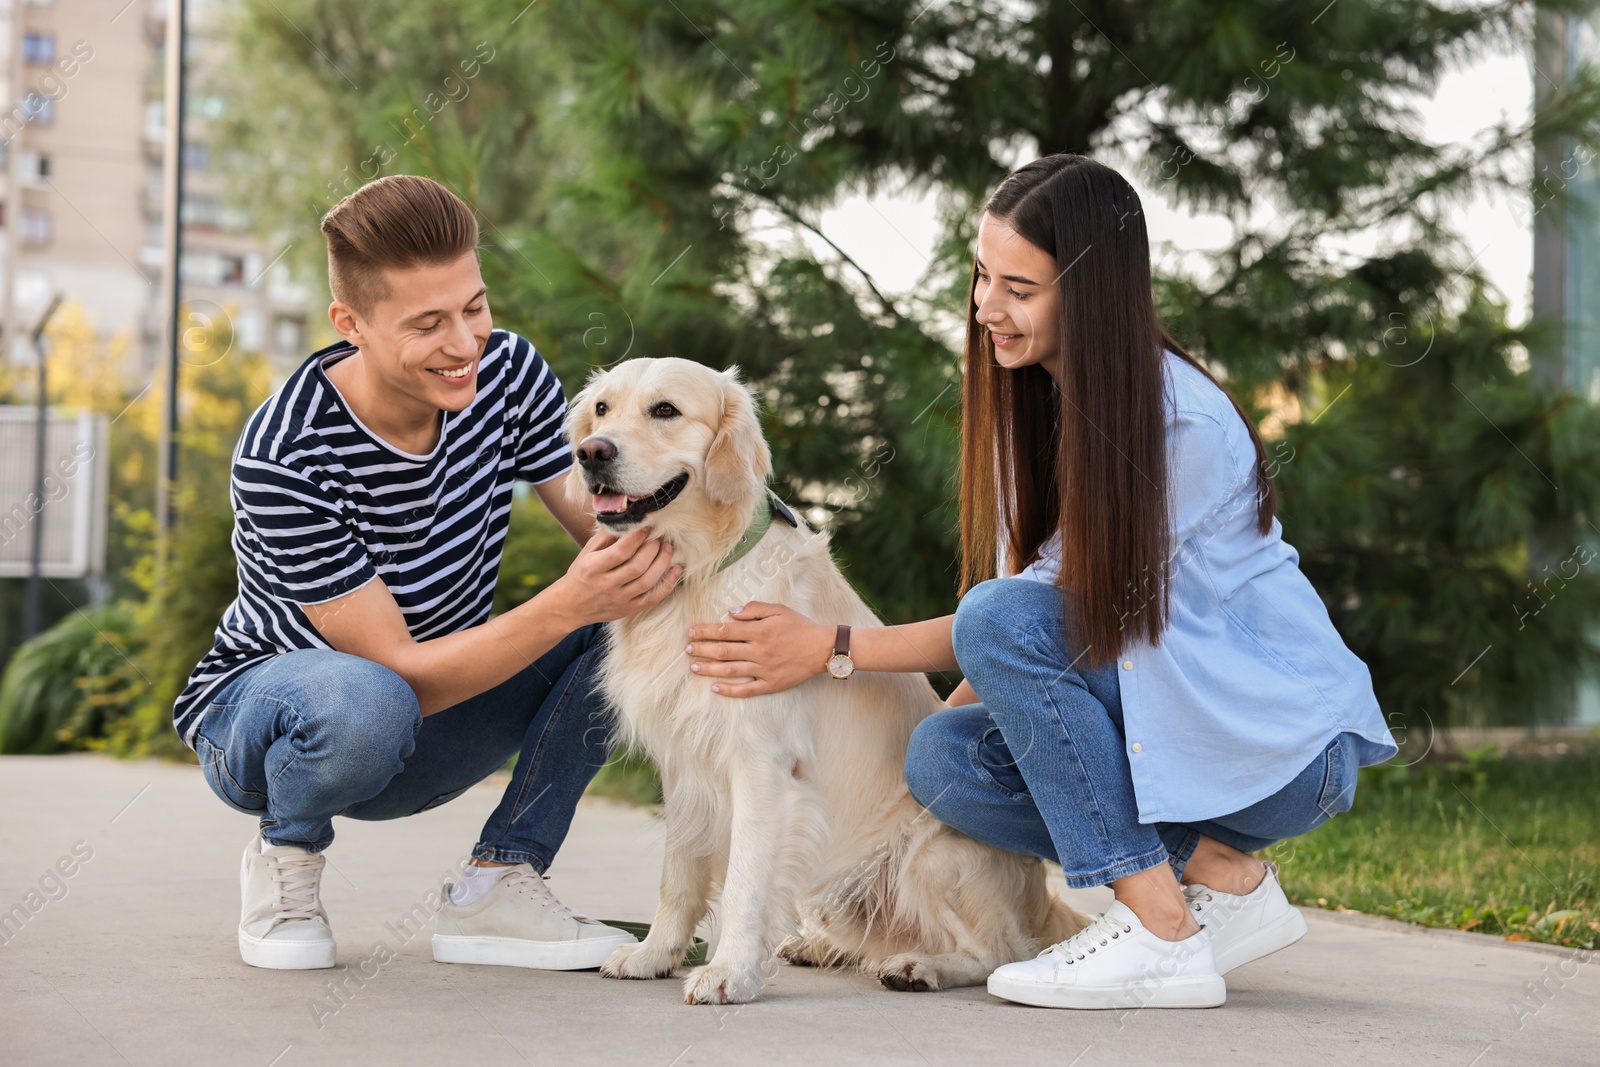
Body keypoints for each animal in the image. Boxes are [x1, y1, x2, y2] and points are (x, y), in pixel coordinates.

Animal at [563, 356, 1088, 1004]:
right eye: (602, 408)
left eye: (666, 410)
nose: (591, 453)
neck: (699, 573)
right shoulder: (683, 764)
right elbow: (677, 876)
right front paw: (653, 954)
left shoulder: (760, 762)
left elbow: (743, 884)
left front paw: (729, 972)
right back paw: (817, 945)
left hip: (931, 854)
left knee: (998, 951)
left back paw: (921, 966)